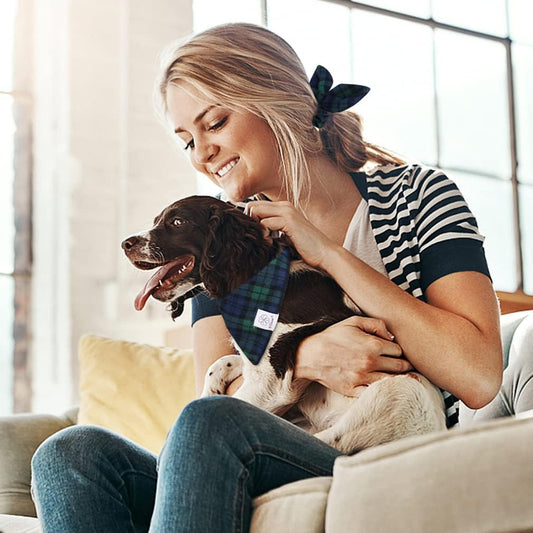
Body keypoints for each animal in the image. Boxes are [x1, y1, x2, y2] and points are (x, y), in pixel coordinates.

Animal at [122, 195, 446, 453]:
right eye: (157, 220)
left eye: (177, 222)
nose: (126, 243)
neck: (256, 280)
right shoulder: (256, 357)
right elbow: (221, 363)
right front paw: (210, 389)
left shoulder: (271, 383)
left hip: (395, 394)